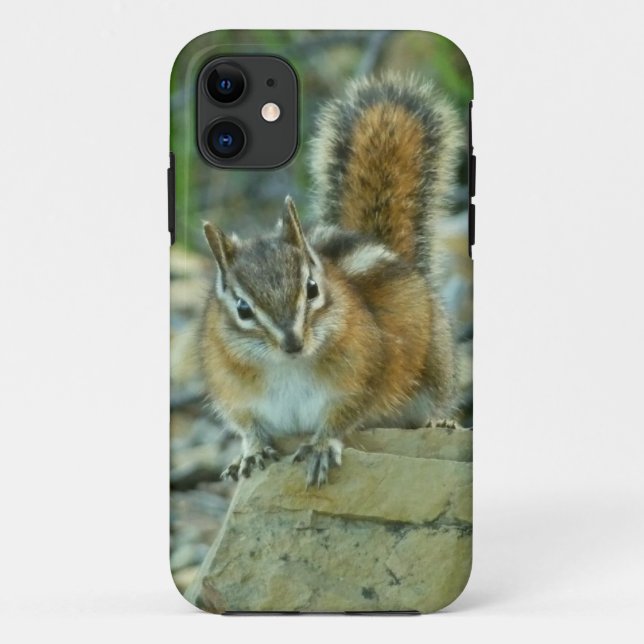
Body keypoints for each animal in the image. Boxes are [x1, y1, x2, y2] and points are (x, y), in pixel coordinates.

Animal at [200, 74, 463, 487]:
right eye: (242, 308)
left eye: (311, 289)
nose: (292, 343)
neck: (287, 367)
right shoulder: (233, 391)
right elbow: (247, 425)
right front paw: (251, 451)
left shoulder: (362, 376)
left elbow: (343, 416)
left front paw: (322, 445)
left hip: (436, 367)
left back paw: (440, 421)